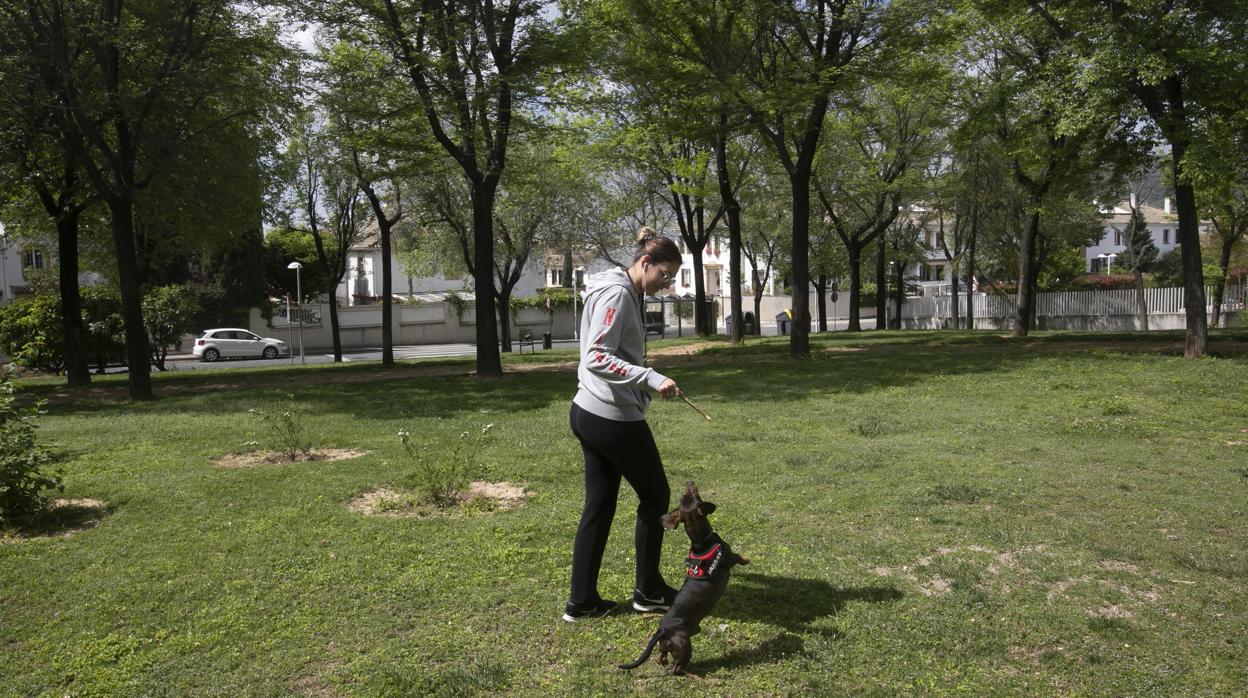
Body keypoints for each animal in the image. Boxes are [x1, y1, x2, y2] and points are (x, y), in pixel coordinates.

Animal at [616, 479, 743, 679]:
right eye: (691, 494)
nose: (689, 481)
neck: (700, 542)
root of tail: (663, 630)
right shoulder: (729, 558)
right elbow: (739, 557)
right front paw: (747, 560)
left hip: (665, 647)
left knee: (661, 658)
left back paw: (666, 663)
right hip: (684, 649)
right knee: (677, 668)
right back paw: (694, 675)